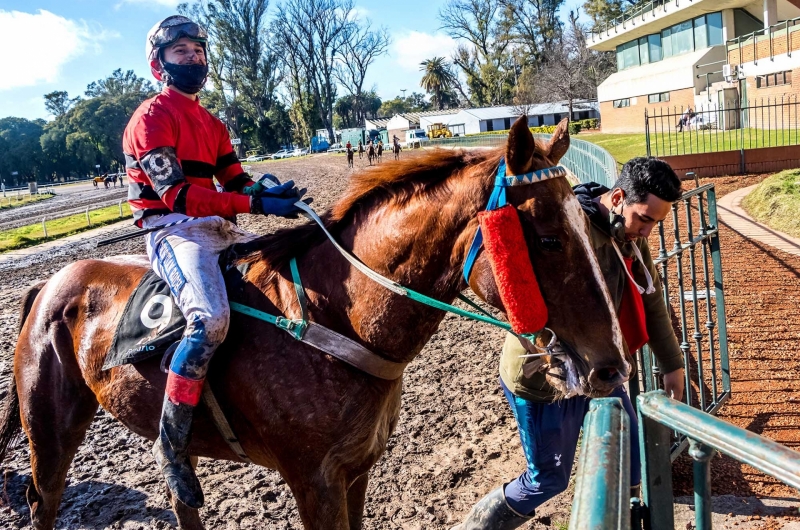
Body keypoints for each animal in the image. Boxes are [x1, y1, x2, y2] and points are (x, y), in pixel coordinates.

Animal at [3, 117, 636, 528]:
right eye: (548, 239)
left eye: (590, 228)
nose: (611, 369)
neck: (335, 318)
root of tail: (49, 284)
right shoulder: (313, 482)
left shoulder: (355, 471)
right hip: (51, 432)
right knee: (43, 500)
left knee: (182, 498)